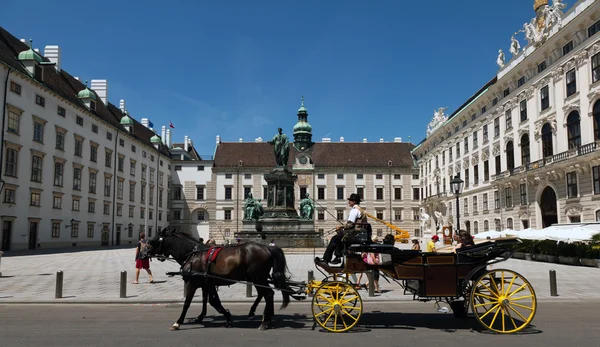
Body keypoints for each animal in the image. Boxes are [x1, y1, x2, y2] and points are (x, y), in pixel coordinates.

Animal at [141, 228, 300, 332]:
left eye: (153, 240)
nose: (142, 254)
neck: (193, 254)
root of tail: (267, 248)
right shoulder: (207, 283)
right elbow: (211, 301)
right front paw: (222, 317)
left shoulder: (192, 283)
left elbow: (188, 303)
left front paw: (178, 322)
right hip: (257, 278)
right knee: (267, 294)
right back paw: (265, 318)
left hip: (258, 277)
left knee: (267, 294)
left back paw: (264, 321)